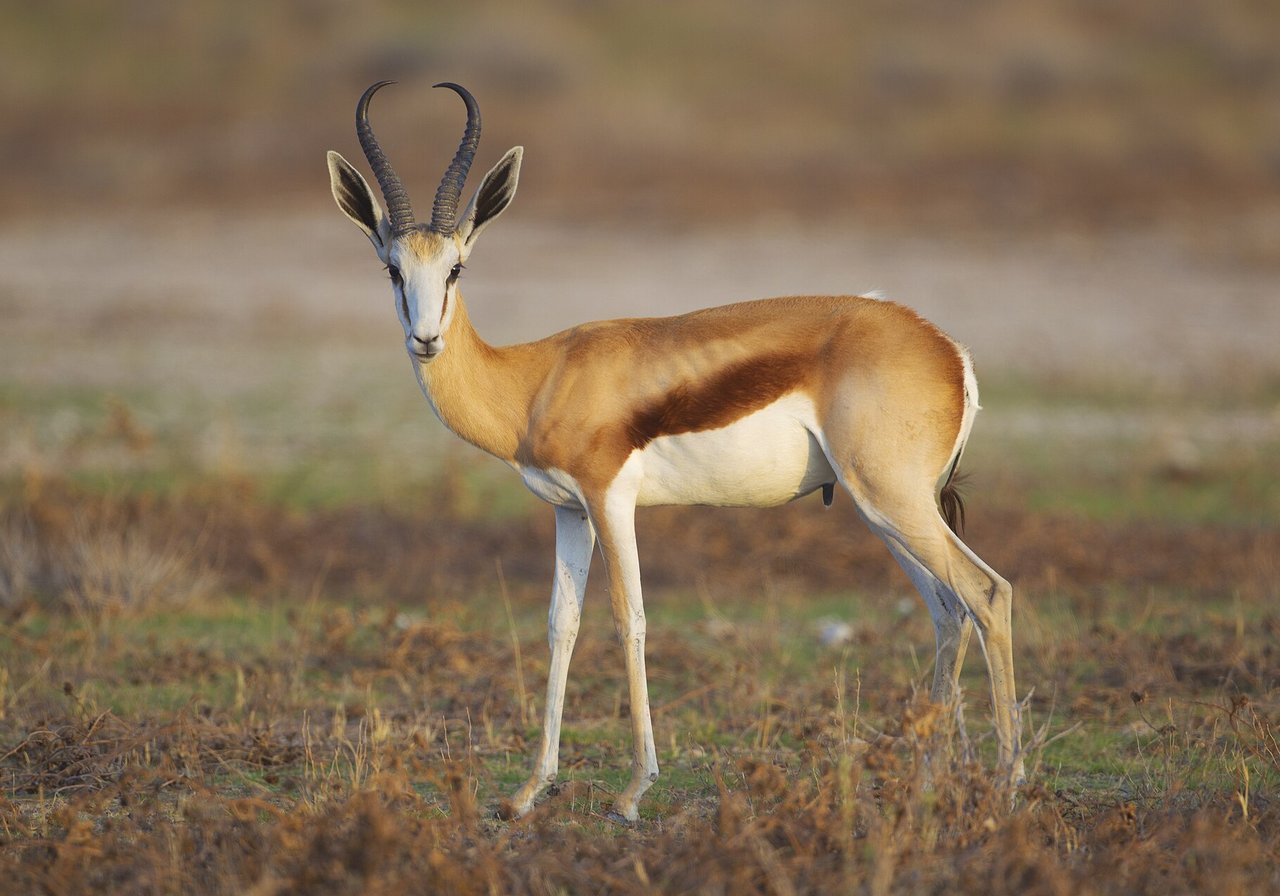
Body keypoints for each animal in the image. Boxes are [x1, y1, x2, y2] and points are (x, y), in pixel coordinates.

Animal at [326, 81, 1024, 823]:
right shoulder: (569, 512)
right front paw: (527, 791)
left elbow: (628, 619)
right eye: (392, 269)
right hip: (884, 512)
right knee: (947, 611)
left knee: (986, 593)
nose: (426, 339)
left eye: (456, 267)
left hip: (892, 501)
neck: (536, 378)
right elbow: (561, 625)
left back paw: (1006, 787)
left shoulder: (610, 499)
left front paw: (633, 791)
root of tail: (946, 349)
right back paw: (926, 785)